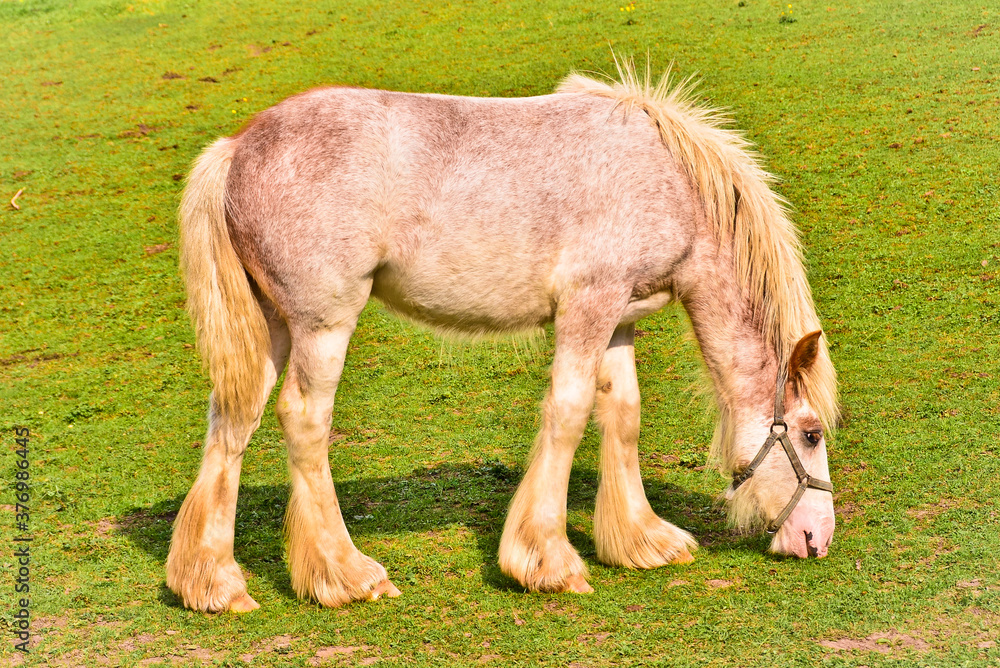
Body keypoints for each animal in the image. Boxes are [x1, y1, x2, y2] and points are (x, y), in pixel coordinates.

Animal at [166, 61, 838, 613]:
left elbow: (623, 414)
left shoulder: (619, 317)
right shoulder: (587, 306)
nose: (818, 537)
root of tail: (237, 149)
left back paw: (214, 582)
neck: (664, 179)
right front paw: (547, 561)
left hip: (271, 327)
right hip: (323, 324)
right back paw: (346, 574)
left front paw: (641, 540)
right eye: (811, 434)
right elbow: (569, 412)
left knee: (233, 420)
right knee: (304, 420)